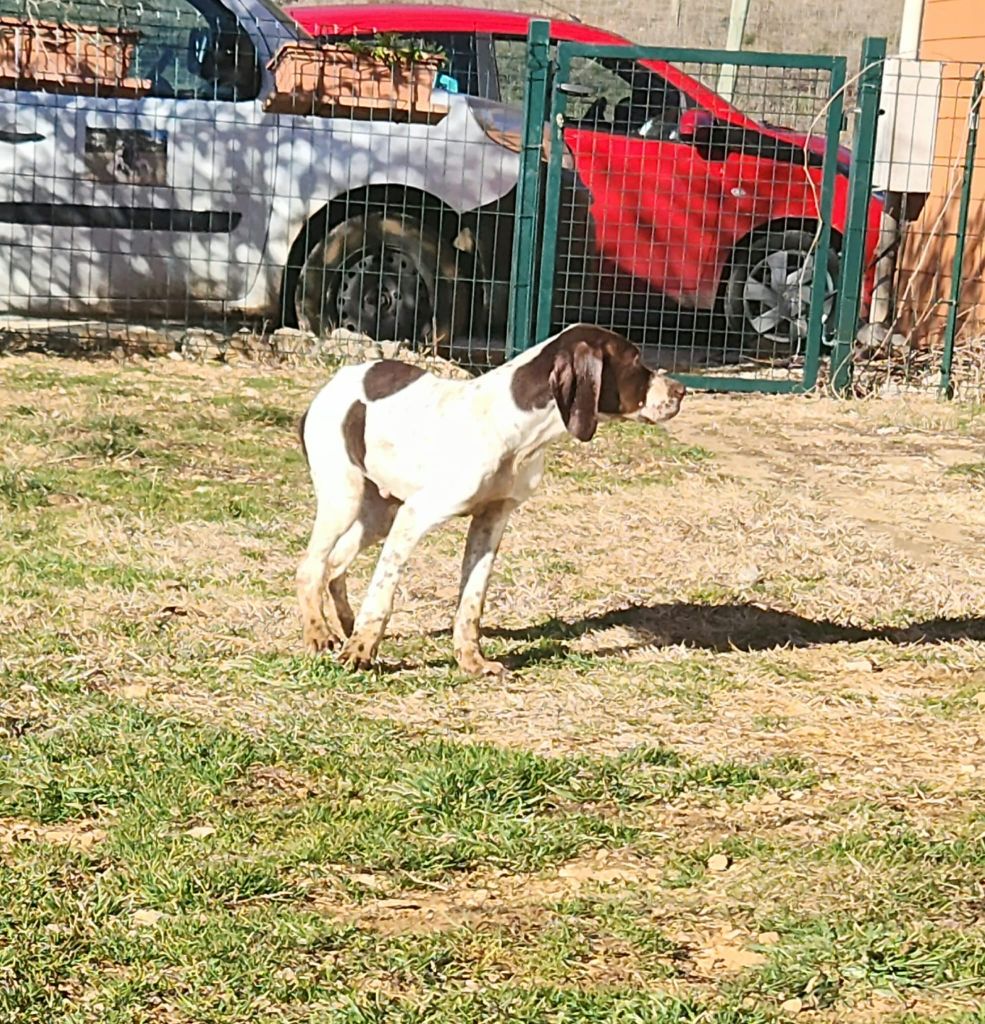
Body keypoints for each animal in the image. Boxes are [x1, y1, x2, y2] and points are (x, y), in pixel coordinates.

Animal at [294, 319, 688, 671]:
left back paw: (344, 625)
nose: (681, 390)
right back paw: (319, 634)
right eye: (635, 361)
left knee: (334, 565)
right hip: (343, 498)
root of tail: (334, 381)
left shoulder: (492, 519)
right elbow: (383, 592)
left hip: (379, 511)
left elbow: (472, 600)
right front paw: (360, 652)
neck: (518, 430)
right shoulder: (415, 516)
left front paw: (472, 661)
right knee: (311, 566)